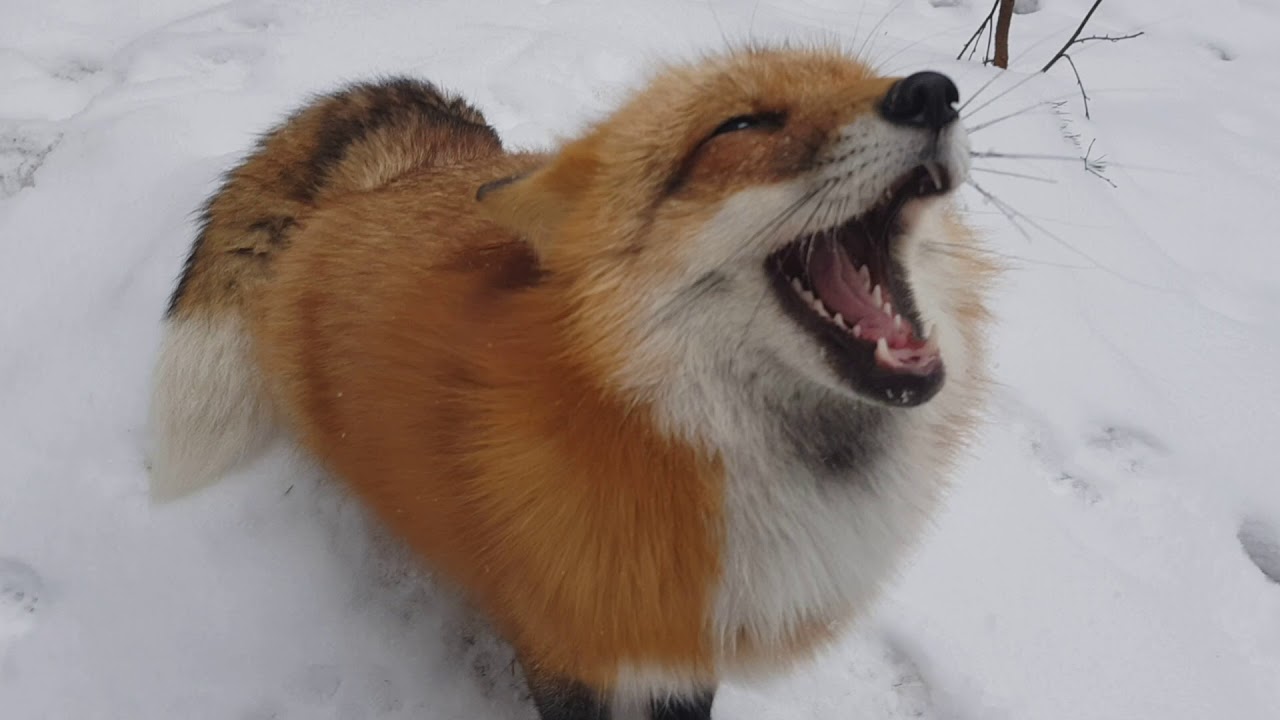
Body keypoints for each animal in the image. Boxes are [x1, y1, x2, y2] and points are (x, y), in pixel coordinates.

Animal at [147, 45, 994, 720]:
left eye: (870, 79)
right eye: (741, 127)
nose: (931, 91)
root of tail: (383, 185)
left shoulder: (681, 643)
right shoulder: (567, 645)